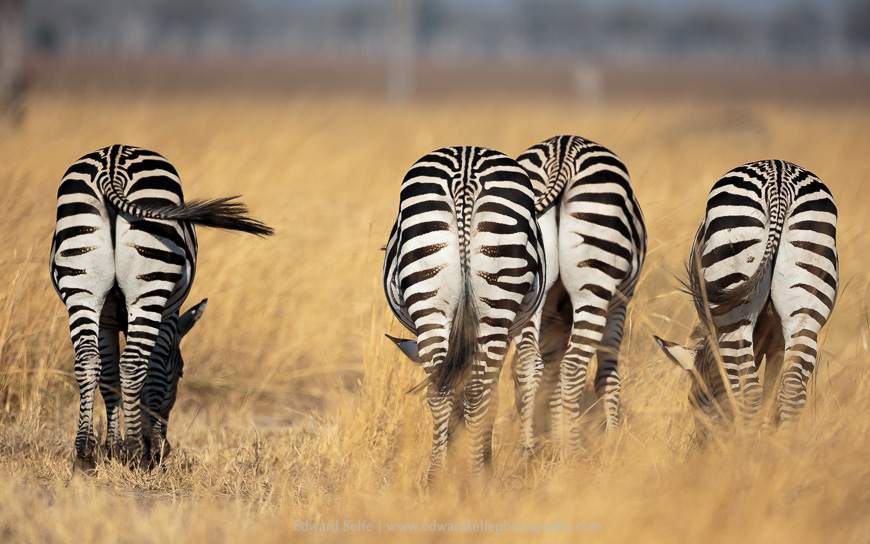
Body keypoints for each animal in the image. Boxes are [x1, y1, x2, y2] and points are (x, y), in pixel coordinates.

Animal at [50, 144, 273, 471]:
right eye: (180, 372)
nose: (165, 445)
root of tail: (112, 163)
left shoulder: (106, 319)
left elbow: (109, 378)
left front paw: (111, 447)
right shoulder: (169, 314)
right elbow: (152, 371)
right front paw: (146, 447)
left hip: (82, 285)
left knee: (87, 361)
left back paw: (84, 454)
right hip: (151, 284)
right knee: (132, 364)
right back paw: (136, 453)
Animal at [383, 146, 546, 481]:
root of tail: (467, 169)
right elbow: (490, 395)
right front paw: (477, 460)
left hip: (431, 302)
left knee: (441, 390)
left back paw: (437, 479)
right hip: (493, 308)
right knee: (477, 393)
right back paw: (475, 479)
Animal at [512, 135, 646, 454]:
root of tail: (562, 152)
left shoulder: (553, 315)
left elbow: (551, 375)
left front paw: (553, 435)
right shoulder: (620, 303)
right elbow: (608, 377)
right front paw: (613, 444)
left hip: (530, 292)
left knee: (529, 363)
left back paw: (527, 449)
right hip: (594, 287)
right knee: (573, 366)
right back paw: (573, 453)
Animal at [654, 160, 838, 432]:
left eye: (694, 402)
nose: (699, 441)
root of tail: (779, 179)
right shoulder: (776, 344)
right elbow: (772, 394)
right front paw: (769, 435)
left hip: (735, 313)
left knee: (749, 392)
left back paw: (744, 444)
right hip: (805, 308)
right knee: (792, 390)